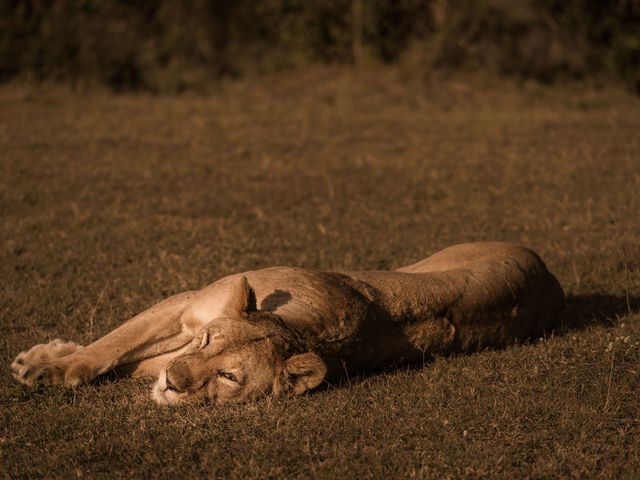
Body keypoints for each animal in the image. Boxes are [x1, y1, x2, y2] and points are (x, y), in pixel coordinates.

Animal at [8, 242, 560, 404]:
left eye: (228, 376)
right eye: (206, 341)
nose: (173, 383)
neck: (298, 329)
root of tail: (549, 274)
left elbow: (125, 357)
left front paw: (47, 364)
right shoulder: (187, 307)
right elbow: (111, 345)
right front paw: (48, 364)